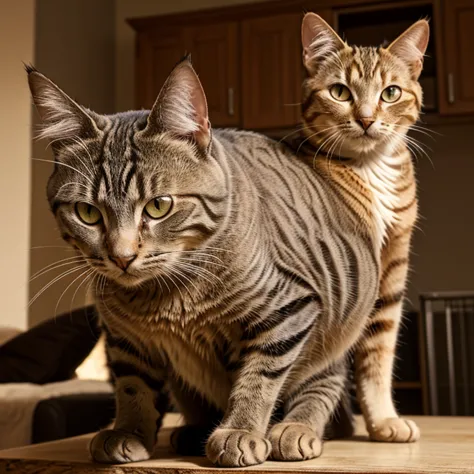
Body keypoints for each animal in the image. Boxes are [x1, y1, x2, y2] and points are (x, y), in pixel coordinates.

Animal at [28, 59, 378, 466]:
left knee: (324, 386)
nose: (122, 256)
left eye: (159, 206)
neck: (163, 297)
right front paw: (128, 431)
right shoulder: (123, 337)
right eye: (87, 213)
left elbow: (258, 378)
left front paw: (241, 430)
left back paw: (297, 428)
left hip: (334, 331)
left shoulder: (290, 307)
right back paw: (192, 431)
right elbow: (133, 387)